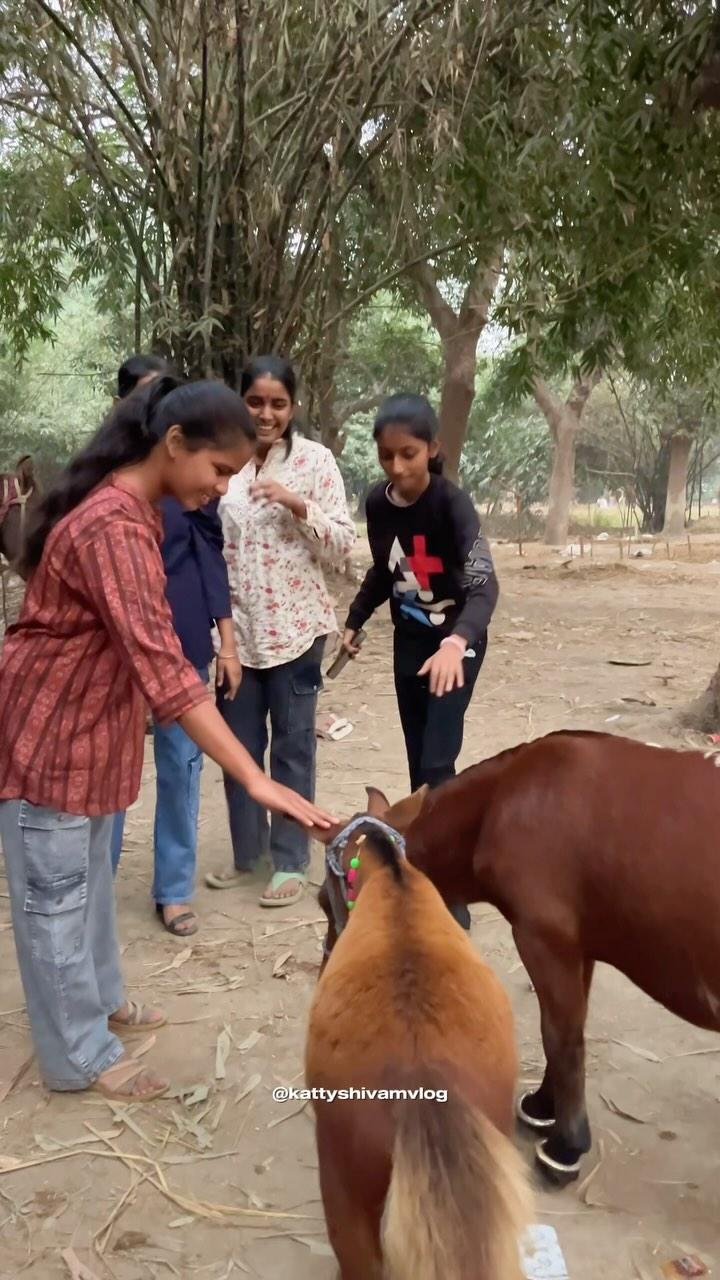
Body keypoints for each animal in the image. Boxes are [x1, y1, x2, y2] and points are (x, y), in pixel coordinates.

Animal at [316, 737, 717, 1182]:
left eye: (323, 902)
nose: (329, 969)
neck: (502, 802)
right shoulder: (578, 945)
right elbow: (570, 1028)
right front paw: (544, 1106)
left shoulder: (542, 938)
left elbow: (560, 1036)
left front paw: (565, 1146)